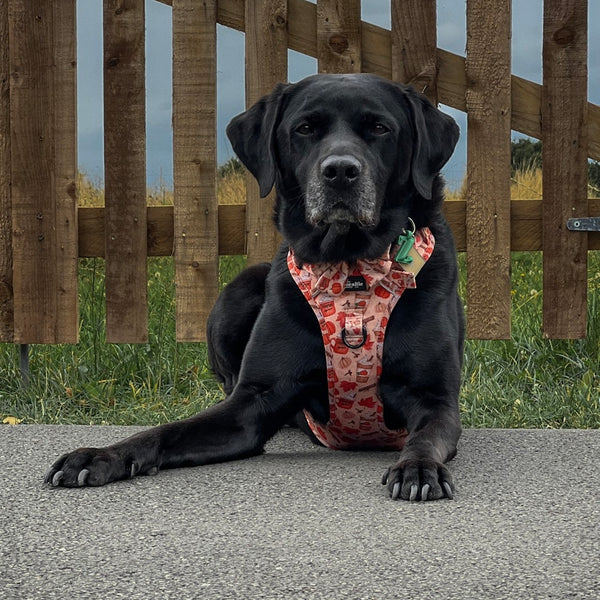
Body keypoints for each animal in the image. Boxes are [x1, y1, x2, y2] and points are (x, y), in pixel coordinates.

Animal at [45, 72, 464, 500]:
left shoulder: (435, 399)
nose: (340, 172)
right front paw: (102, 455)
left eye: (379, 128)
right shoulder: (251, 405)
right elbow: (166, 430)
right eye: (305, 128)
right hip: (239, 291)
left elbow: (426, 437)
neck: (351, 274)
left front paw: (418, 467)